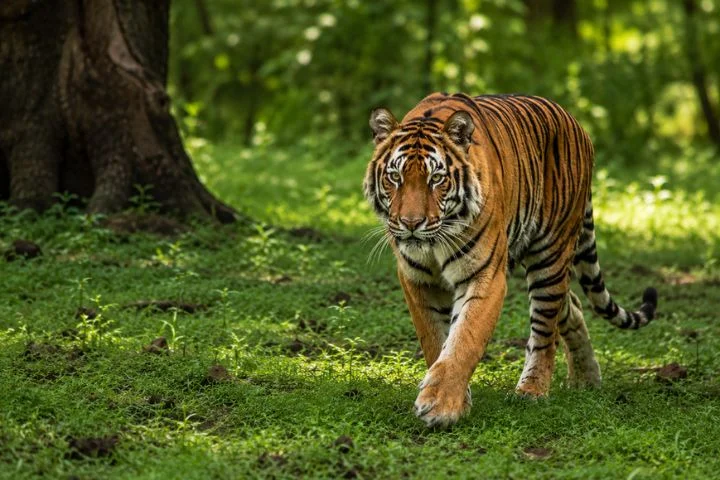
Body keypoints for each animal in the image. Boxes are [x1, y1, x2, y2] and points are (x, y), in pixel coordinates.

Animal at [363, 92, 658, 428]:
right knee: (572, 305)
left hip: (550, 257)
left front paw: (440, 406)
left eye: (436, 178)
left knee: (545, 331)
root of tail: (575, 123)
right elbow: (435, 340)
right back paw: (587, 379)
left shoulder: (485, 276)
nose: (411, 223)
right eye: (394, 177)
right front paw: (456, 399)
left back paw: (532, 391)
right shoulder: (418, 280)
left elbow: (464, 339)